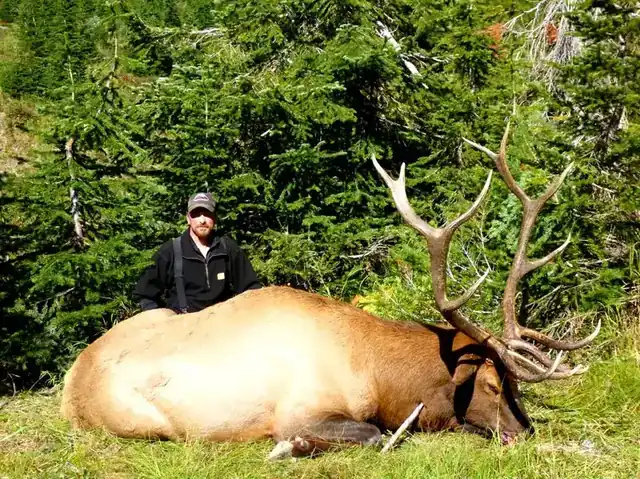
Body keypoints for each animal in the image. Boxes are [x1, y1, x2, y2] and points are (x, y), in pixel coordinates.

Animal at [61, 123, 599, 458]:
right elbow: (376, 434)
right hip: (146, 421)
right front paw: (290, 448)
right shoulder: (300, 410)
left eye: (515, 386)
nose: (523, 433)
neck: (375, 372)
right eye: (491, 385)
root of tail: (69, 382)